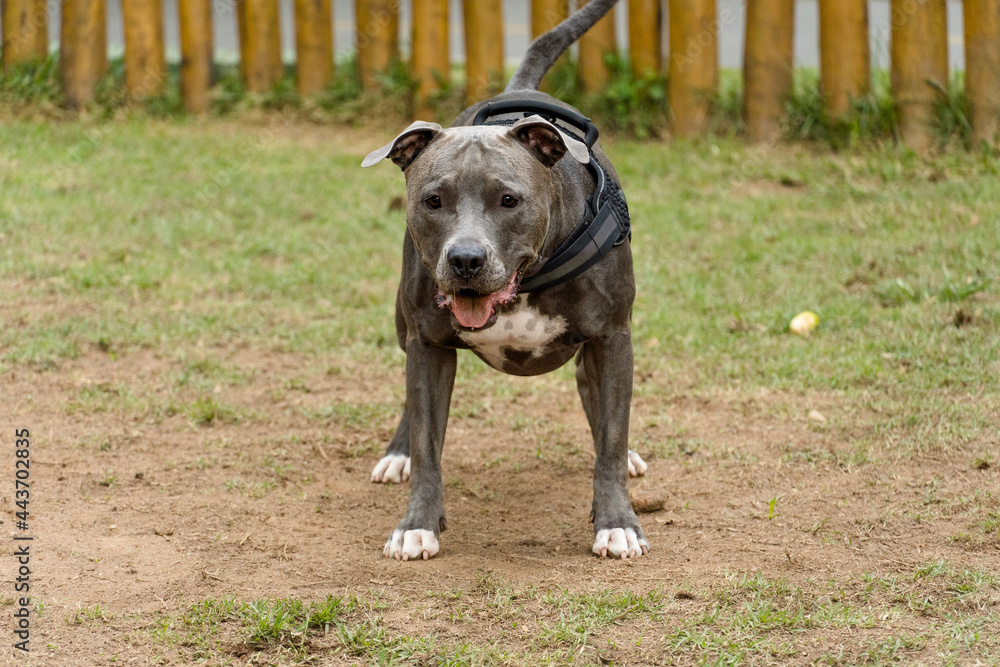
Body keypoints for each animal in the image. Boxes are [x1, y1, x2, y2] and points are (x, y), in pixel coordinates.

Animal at [360, 0, 648, 564]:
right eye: (433, 200)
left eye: (509, 200)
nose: (466, 259)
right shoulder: (429, 345)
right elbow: (427, 444)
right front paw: (417, 524)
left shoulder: (611, 337)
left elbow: (610, 436)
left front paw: (617, 522)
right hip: (405, 327)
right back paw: (397, 453)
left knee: (598, 402)